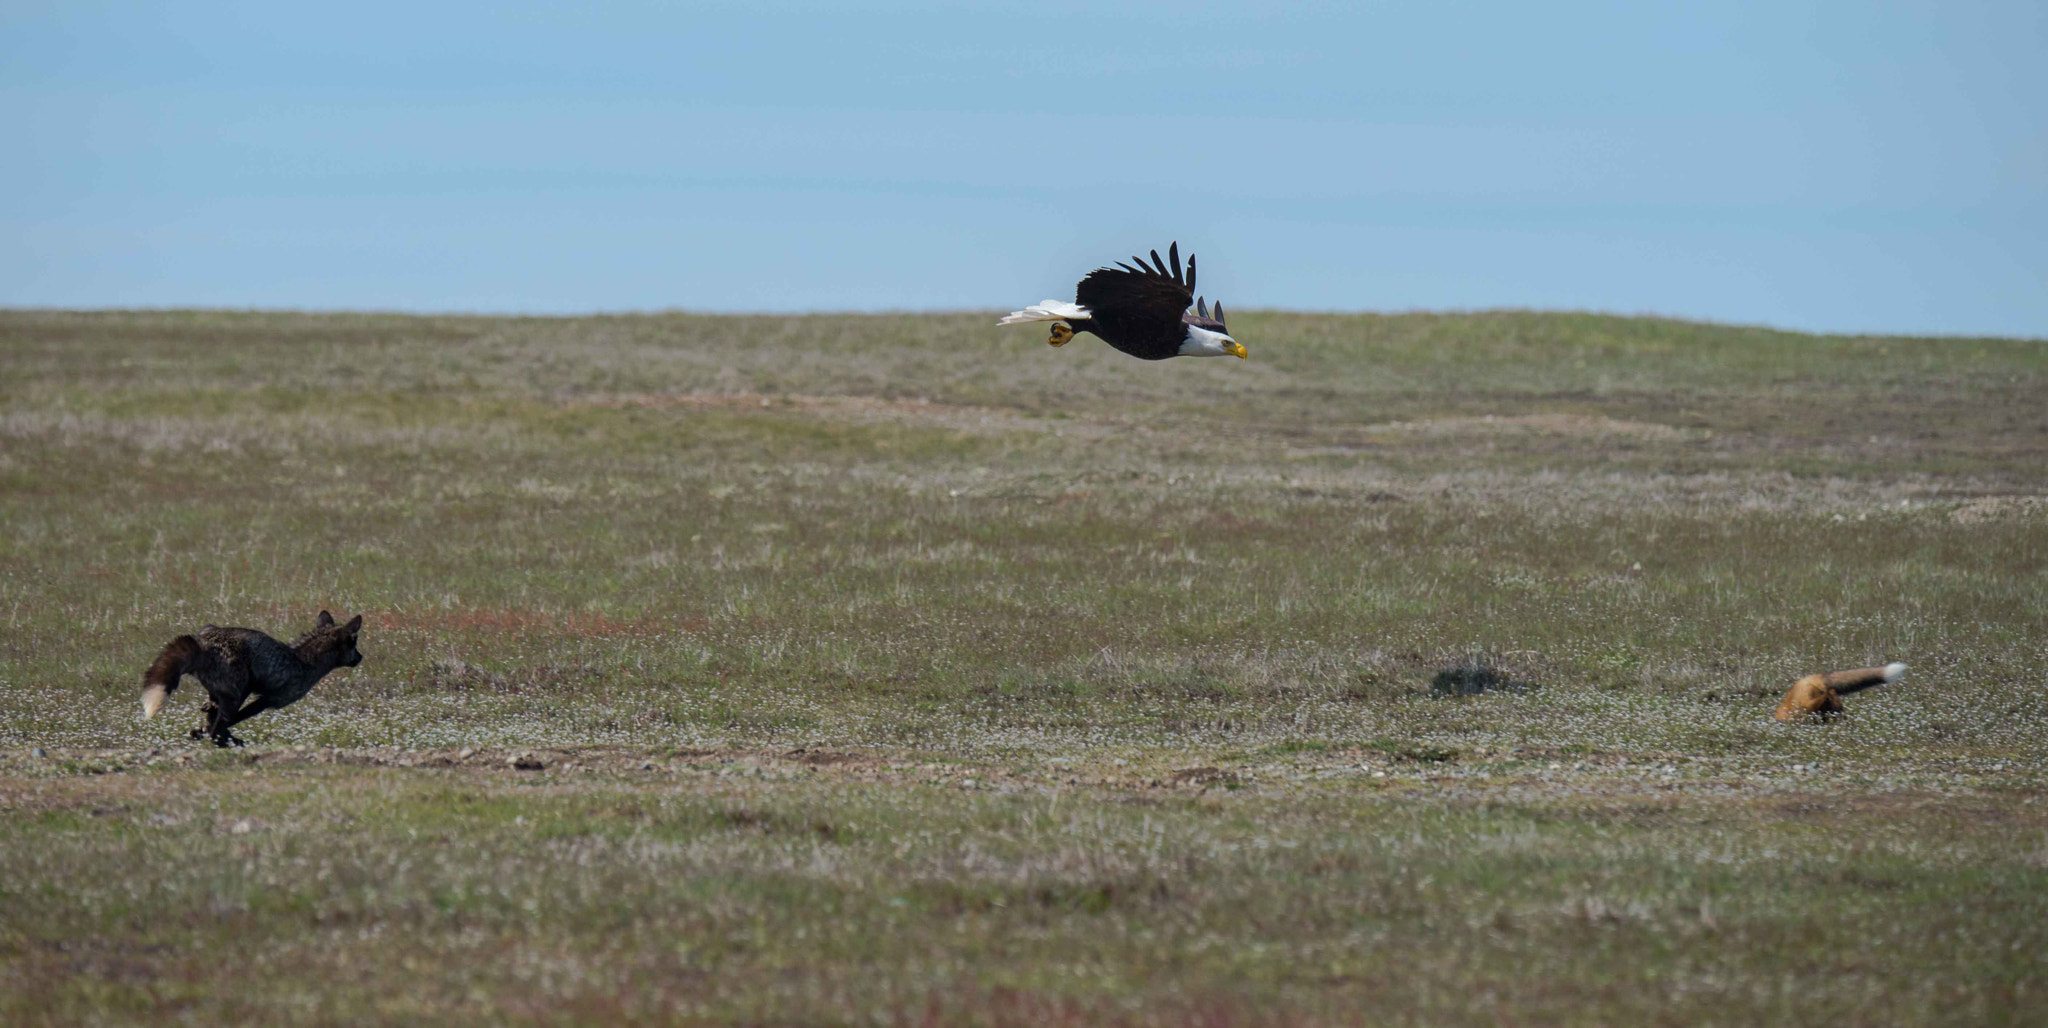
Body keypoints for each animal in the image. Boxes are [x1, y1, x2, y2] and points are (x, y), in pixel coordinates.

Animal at [140, 611, 364, 747]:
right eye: (354, 643)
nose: (361, 658)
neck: (305, 660)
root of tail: (202, 642)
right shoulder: (269, 700)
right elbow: (231, 721)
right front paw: (211, 734)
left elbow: (214, 722)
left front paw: (200, 731)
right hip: (238, 692)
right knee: (218, 728)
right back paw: (227, 742)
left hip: (224, 690)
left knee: (214, 717)